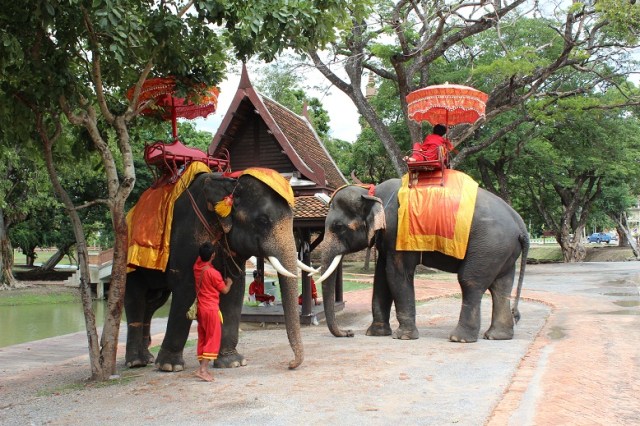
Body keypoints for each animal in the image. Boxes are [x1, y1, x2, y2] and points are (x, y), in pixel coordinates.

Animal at [125, 169, 313, 372]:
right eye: (262, 220)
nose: (290, 364)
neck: (228, 181)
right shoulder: (187, 237)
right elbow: (186, 289)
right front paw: (169, 366)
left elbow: (234, 290)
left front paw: (233, 363)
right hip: (130, 262)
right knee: (135, 298)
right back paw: (137, 362)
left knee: (153, 302)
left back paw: (147, 358)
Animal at [316, 177, 529, 343]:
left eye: (338, 227)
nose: (349, 333)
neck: (373, 193)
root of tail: (520, 225)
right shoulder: (387, 238)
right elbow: (381, 278)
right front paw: (376, 333)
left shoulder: (397, 232)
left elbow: (397, 273)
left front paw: (403, 337)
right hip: (502, 251)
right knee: (501, 286)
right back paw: (497, 336)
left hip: (489, 246)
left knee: (470, 281)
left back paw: (459, 338)